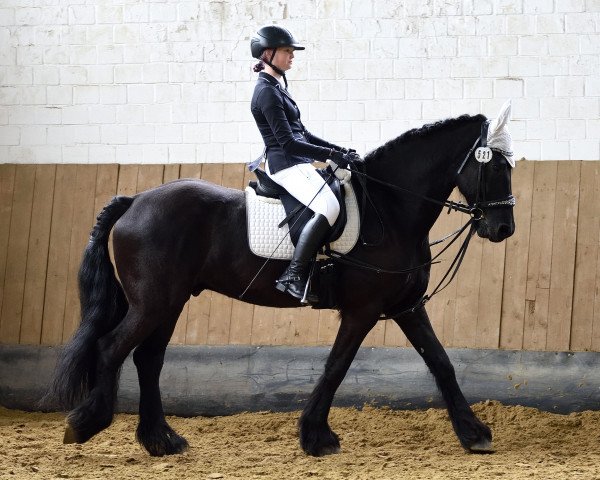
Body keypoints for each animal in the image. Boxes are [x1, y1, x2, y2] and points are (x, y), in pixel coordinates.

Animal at [49, 105, 516, 458]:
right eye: (494, 168)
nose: (503, 229)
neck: (391, 209)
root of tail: (134, 202)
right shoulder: (363, 310)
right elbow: (336, 366)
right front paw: (316, 437)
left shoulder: (407, 306)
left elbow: (440, 361)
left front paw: (474, 434)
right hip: (152, 302)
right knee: (112, 347)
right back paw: (88, 424)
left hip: (169, 302)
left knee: (148, 359)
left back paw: (161, 440)